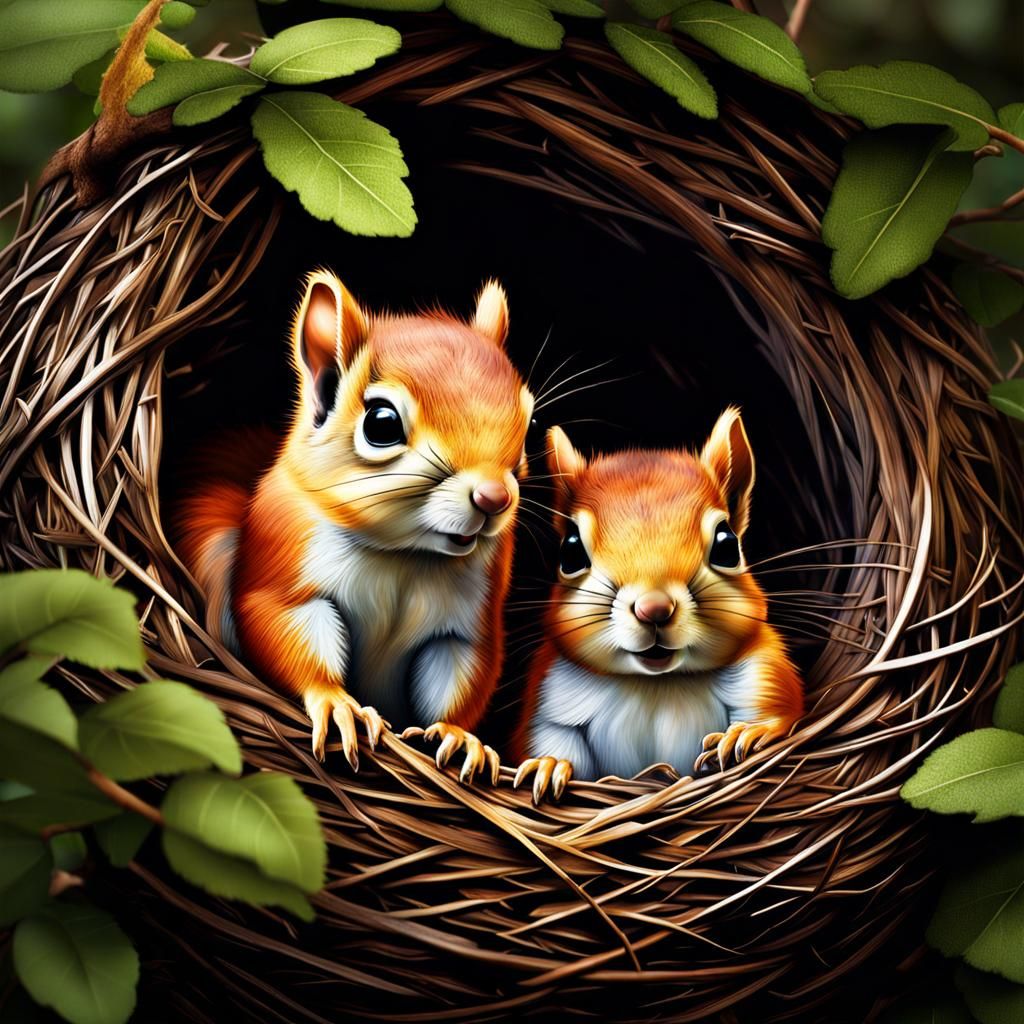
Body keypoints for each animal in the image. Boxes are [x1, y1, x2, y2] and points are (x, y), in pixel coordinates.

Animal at [176, 270, 534, 782]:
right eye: (381, 423)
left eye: (529, 425)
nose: (494, 498)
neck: (406, 554)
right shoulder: (285, 577)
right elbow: (282, 630)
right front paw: (336, 703)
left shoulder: (465, 628)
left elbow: (463, 674)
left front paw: (460, 736)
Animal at [512, 408, 803, 802]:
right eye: (570, 551)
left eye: (728, 544)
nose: (653, 608)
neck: (658, 684)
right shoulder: (550, 700)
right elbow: (550, 739)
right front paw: (549, 764)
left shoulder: (763, 669)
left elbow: (783, 711)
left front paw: (750, 732)